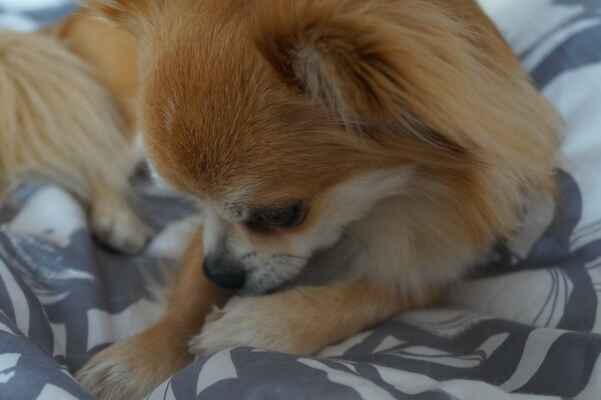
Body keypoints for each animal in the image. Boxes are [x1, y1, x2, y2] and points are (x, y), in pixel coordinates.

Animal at [69, 1, 562, 398]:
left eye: (283, 215)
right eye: (190, 202)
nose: (221, 271)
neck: (392, 201)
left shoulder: (437, 259)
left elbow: (366, 295)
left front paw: (256, 326)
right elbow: (189, 293)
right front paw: (138, 360)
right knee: (96, 150)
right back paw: (118, 220)